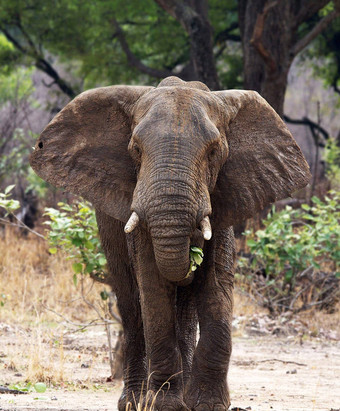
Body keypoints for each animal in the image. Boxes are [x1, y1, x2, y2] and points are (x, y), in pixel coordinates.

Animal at [29, 75, 310, 410]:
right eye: (135, 150)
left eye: (214, 152)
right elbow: (152, 287)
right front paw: (164, 405)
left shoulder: (223, 197)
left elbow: (216, 285)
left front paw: (208, 404)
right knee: (130, 302)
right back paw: (135, 401)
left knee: (185, 309)